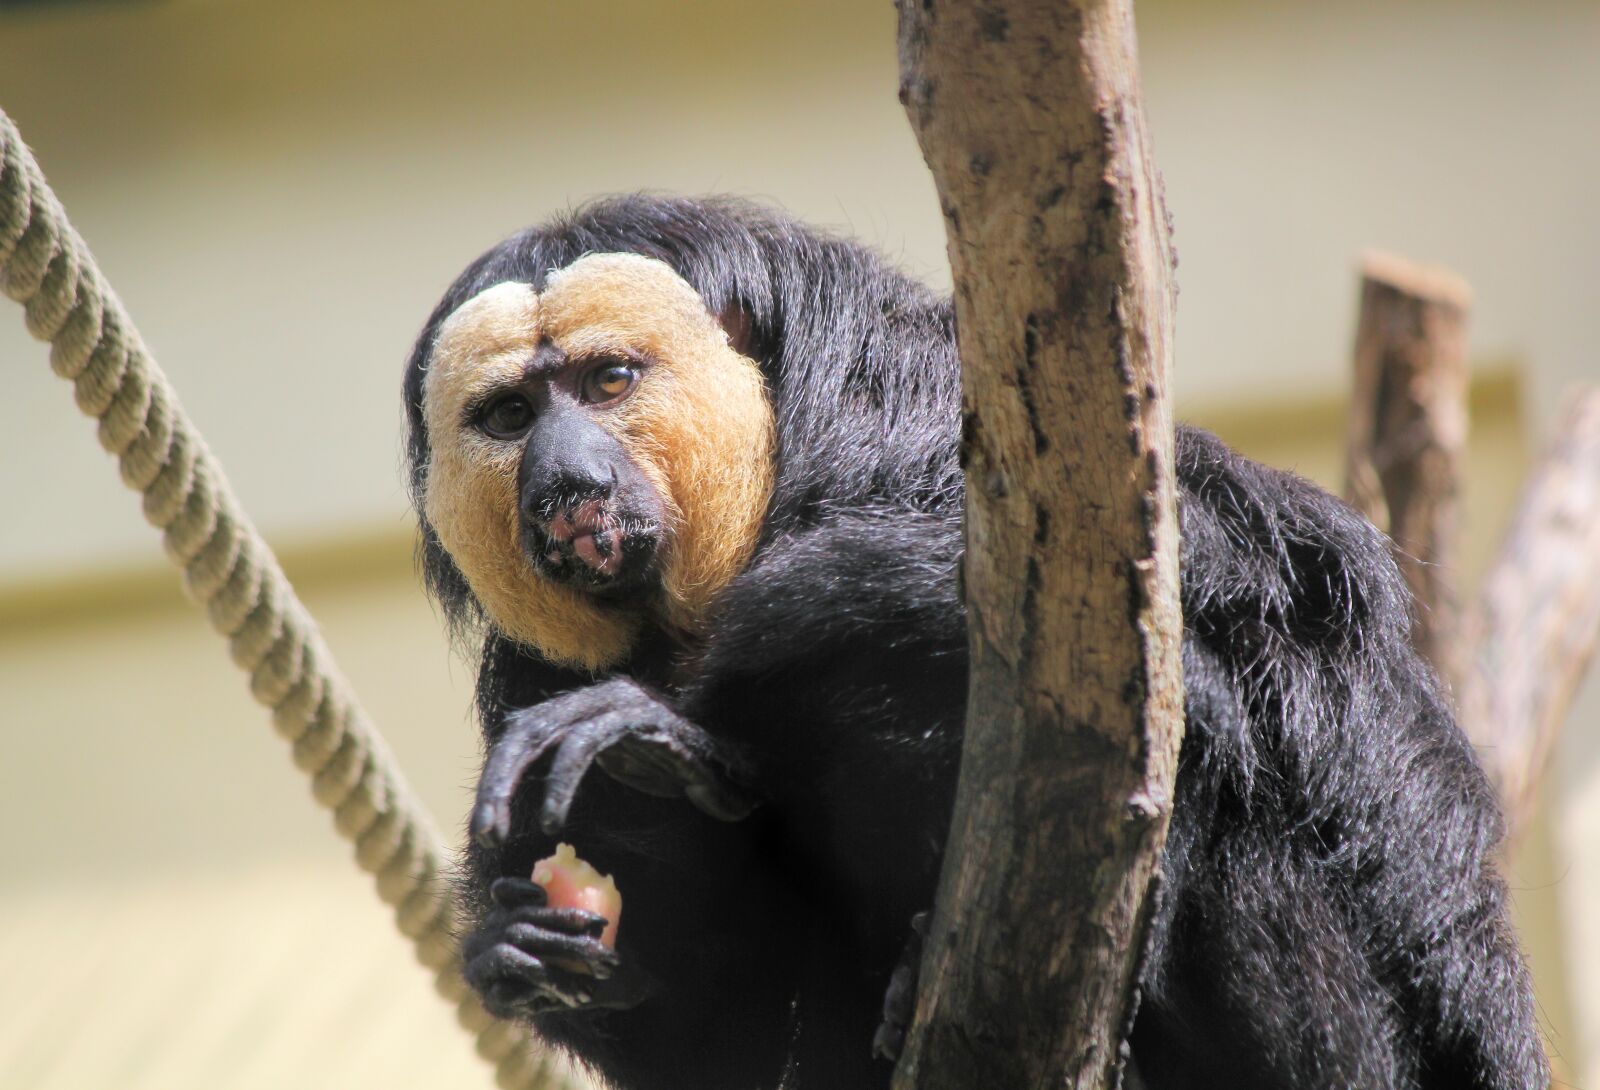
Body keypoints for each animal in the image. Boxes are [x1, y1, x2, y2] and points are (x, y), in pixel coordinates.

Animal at [402, 196, 1546, 1090]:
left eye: (607, 382)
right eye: (511, 415)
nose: (568, 481)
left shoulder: (912, 427)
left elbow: (1200, 670)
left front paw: (667, 736)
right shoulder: (527, 670)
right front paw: (531, 934)